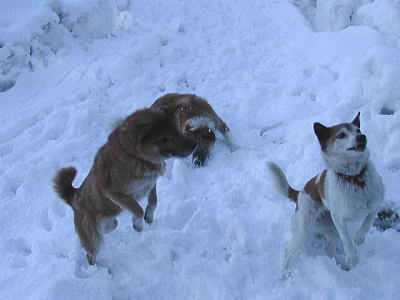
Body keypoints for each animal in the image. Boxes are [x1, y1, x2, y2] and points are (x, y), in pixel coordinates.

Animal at [53, 108, 197, 264]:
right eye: (164, 139)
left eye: (176, 128)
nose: (194, 144)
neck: (137, 157)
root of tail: (73, 196)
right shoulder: (113, 192)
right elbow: (137, 209)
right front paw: (138, 224)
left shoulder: (150, 183)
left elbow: (153, 200)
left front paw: (149, 216)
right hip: (94, 236)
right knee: (91, 254)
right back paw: (97, 268)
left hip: (109, 223)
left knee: (108, 229)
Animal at [268, 112, 384, 272]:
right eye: (341, 135)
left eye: (358, 130)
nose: (362, 137)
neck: (355, 179)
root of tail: (299, 193)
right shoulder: (339, 219)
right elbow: (347, 242)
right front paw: (353, 257)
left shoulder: (376, 203)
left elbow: (367, 222)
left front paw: (359, 237)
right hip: (304, 231)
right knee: (287, 252)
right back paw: (285, 273)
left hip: (331, 229)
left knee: (328, 249)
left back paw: (343, 265)